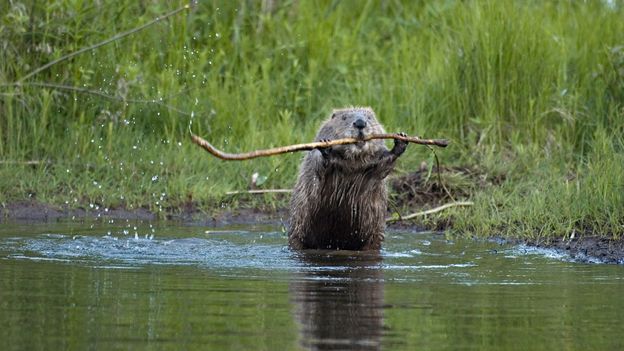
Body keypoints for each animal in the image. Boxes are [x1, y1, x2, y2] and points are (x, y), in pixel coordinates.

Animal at [288, 107, 408, 250]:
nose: (360, 123)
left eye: (369, 117)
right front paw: (326, 147)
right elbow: (319, 166)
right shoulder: (314, 160)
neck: (354, 161)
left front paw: (401, 141)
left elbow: (383, 165)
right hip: (297, 227)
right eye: (344, 117)